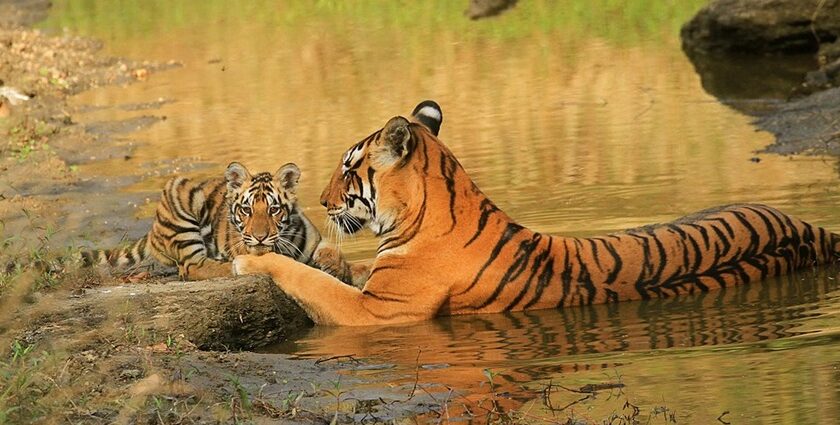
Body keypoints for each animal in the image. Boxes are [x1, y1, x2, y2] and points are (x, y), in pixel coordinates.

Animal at [83, 162, 360, 284]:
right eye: (247, 210)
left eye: (274, 209)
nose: (259, 237)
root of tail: (152, 230)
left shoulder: (314, 239)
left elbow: (332, 251)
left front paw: (335, 267)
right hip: (180, 194)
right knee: (193, 267)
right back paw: (232, 266)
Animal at [231, 100, 840, 324]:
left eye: (349, 168)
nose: (323, 201)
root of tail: (814, 229)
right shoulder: (379, 282)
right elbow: (339, 269)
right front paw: (329, 256)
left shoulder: (379, 311)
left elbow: (307, 280)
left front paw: (250, 259)